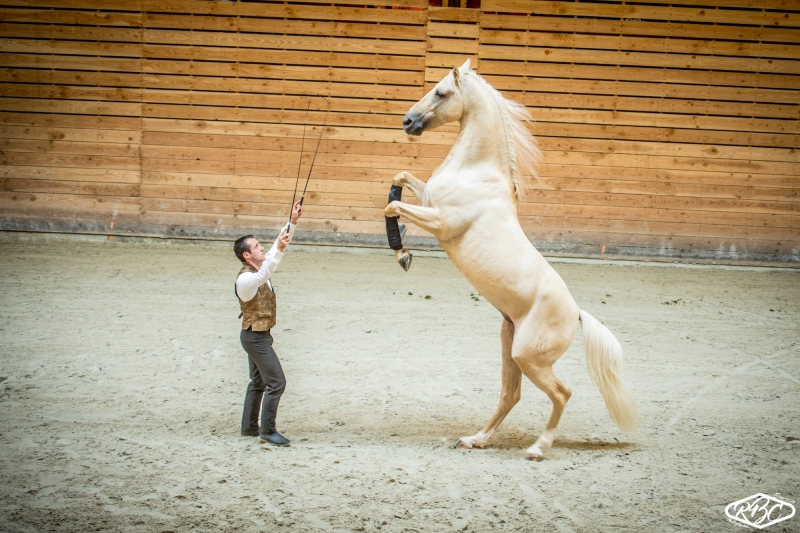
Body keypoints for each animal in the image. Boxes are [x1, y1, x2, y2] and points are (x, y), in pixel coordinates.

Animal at [384, 60, 640, 462]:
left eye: (441, 92)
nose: (407, 122)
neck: (476, 173)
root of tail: (577, 314)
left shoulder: (441, 221)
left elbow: (392, 206)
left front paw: (403, 254)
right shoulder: (428, 199)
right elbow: (400, 179)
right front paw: (402, 247)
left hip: (529, 356)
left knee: (561, 393)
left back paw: (537, 448)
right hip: (510, 345)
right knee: (510, 394)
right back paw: (474, 439)